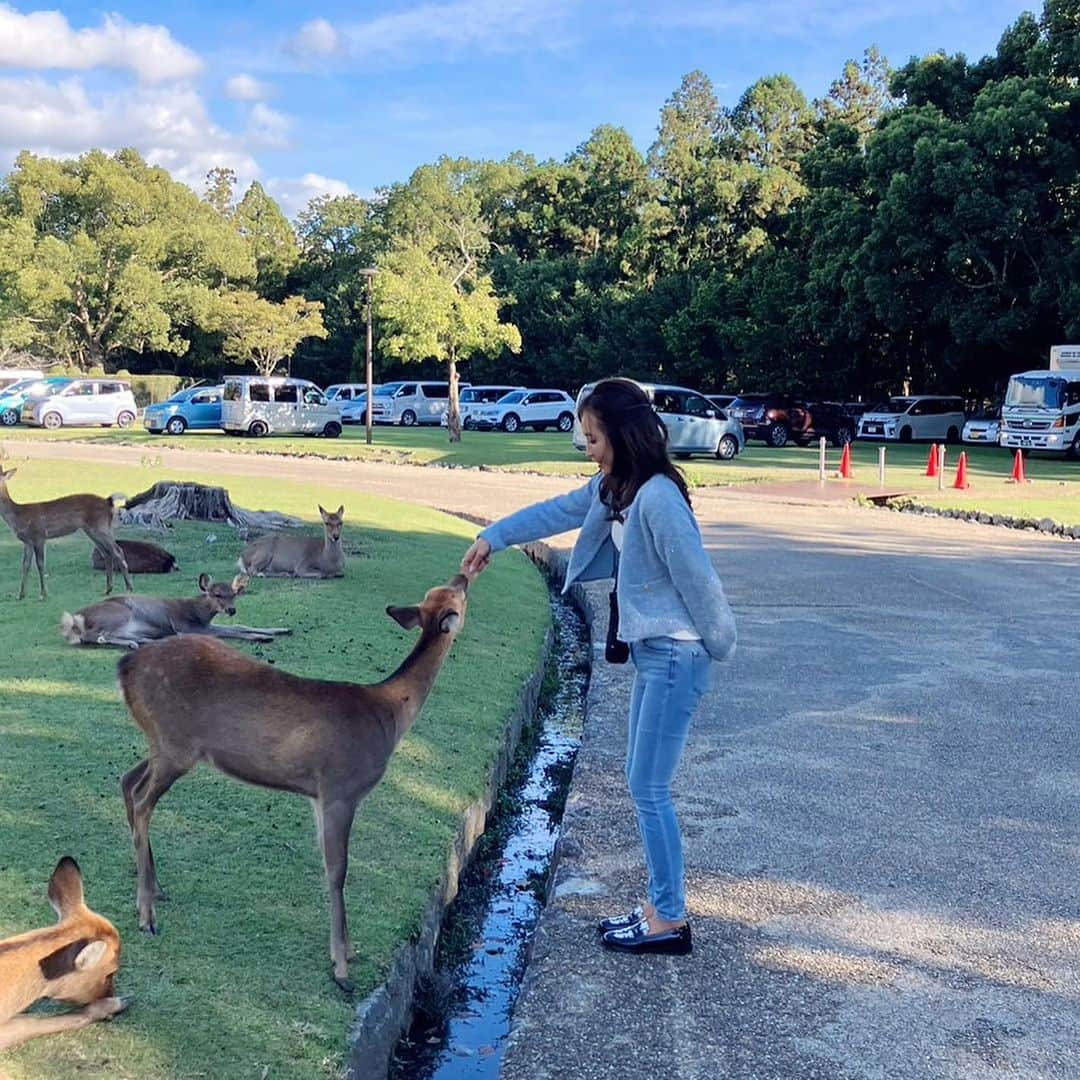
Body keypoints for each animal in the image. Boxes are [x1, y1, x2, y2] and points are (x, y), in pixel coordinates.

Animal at [0, 464, 133, 600]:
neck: (18, 517)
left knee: (118, 551)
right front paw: (21, 595)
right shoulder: (27, 541)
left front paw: (43, 594)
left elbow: (40, 564)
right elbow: (25, 565)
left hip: (101, 527)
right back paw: (108, 589)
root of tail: (108, 502)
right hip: (92, 530)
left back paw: (129, 588)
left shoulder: (39, 535)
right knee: (107, 554)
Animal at [60, 574, 289, 648]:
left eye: (234, 593)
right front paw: (261, 637)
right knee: (93, 636)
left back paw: (142, 641)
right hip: (117, 613)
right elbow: (231, 632)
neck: (199, 613)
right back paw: (134, 643)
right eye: (216, 594)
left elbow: (240, 625)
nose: (231, 610)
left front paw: (280, 630)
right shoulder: (188, 627)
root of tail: (77, 617)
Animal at [119, 570, 473, 989]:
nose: (464, 574)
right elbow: (338, 870)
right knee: (143, 801)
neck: (388, 715)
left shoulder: (317, 795)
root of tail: (124, 667)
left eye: (442, 592)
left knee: (127, 781)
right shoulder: (340, 788)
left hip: (163, 744)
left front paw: (349, 950)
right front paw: (341, 968)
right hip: (175, 745)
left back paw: (155, 889)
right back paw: (147, 916)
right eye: (457, 596)